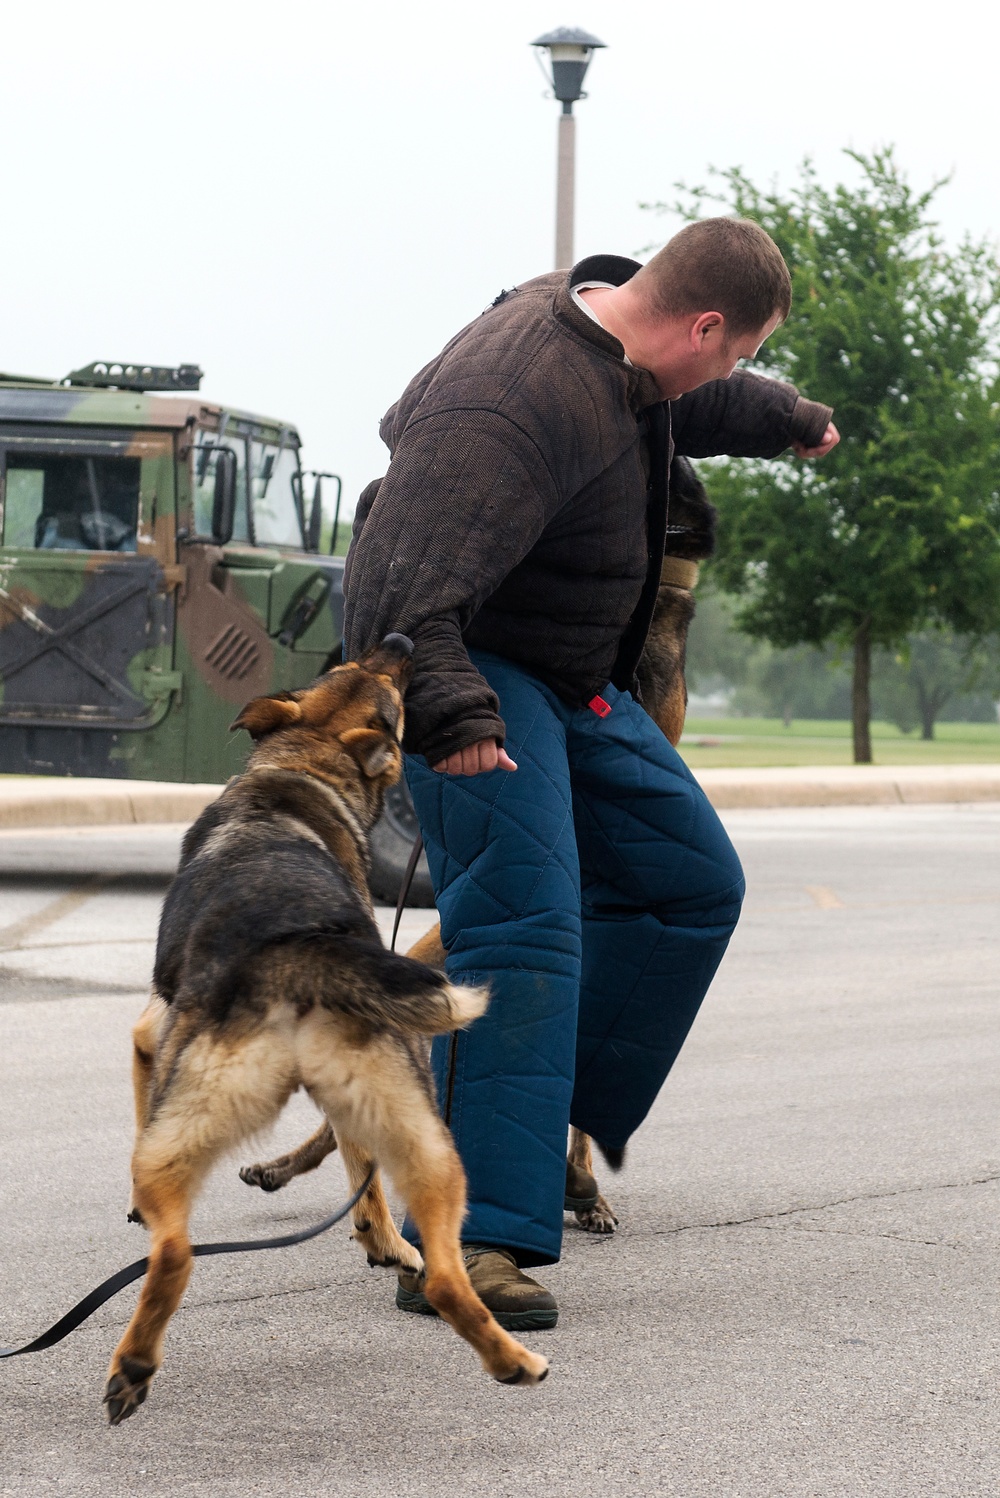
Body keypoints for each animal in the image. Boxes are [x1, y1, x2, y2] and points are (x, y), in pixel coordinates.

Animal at [106, 635, 547, 1426]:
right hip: (426, 1139)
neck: (301, 765)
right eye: (376, 687)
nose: (399, 641)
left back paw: (133, 1367)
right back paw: (508, 1356)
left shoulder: (155, 1031)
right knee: (438, 1271)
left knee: (177, 1251)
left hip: (208, 1131)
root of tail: (293, 948)